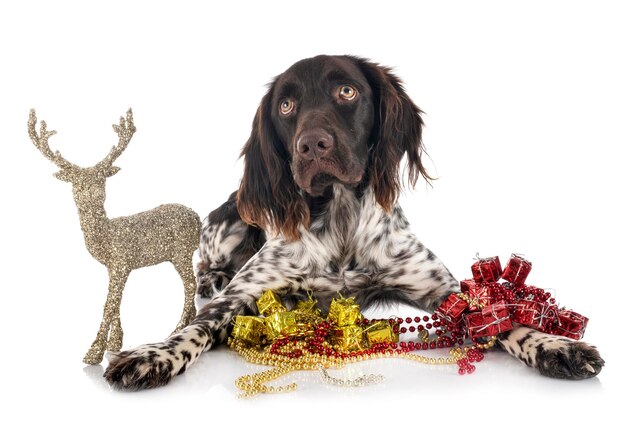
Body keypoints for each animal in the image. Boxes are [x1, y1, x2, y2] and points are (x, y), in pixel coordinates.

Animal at [105, 56, 604, 390]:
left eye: (347, 92)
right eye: (286, 105)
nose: (311, 145)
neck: (341, 221)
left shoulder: (443, 289)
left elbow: (499, 320)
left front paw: (555, 345)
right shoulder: (244, 293)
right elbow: (194, 327)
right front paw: (152, 354)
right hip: (227, 222)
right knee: (203, 266)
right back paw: (210, 277)